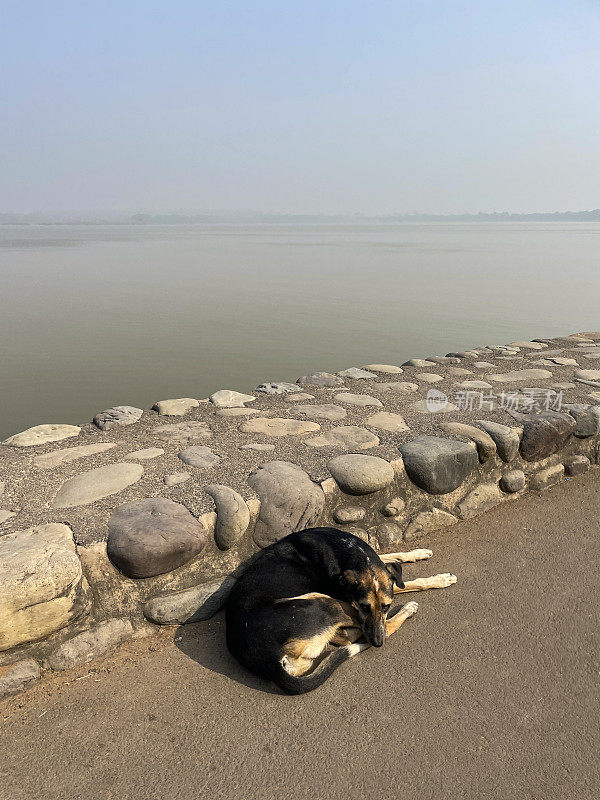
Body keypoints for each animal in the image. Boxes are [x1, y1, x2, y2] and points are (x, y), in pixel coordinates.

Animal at [225, 524, 454, 692]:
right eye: (364, 606)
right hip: (325, 601)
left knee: (344, 638)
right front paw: (440, 579)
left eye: (386, 606)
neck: (349, 549)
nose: (377, 643)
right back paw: (407, 609)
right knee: (368, 632)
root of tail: (266, 659)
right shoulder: (351, 601)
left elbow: (391, 556)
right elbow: (408, 584)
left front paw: (418, 552)